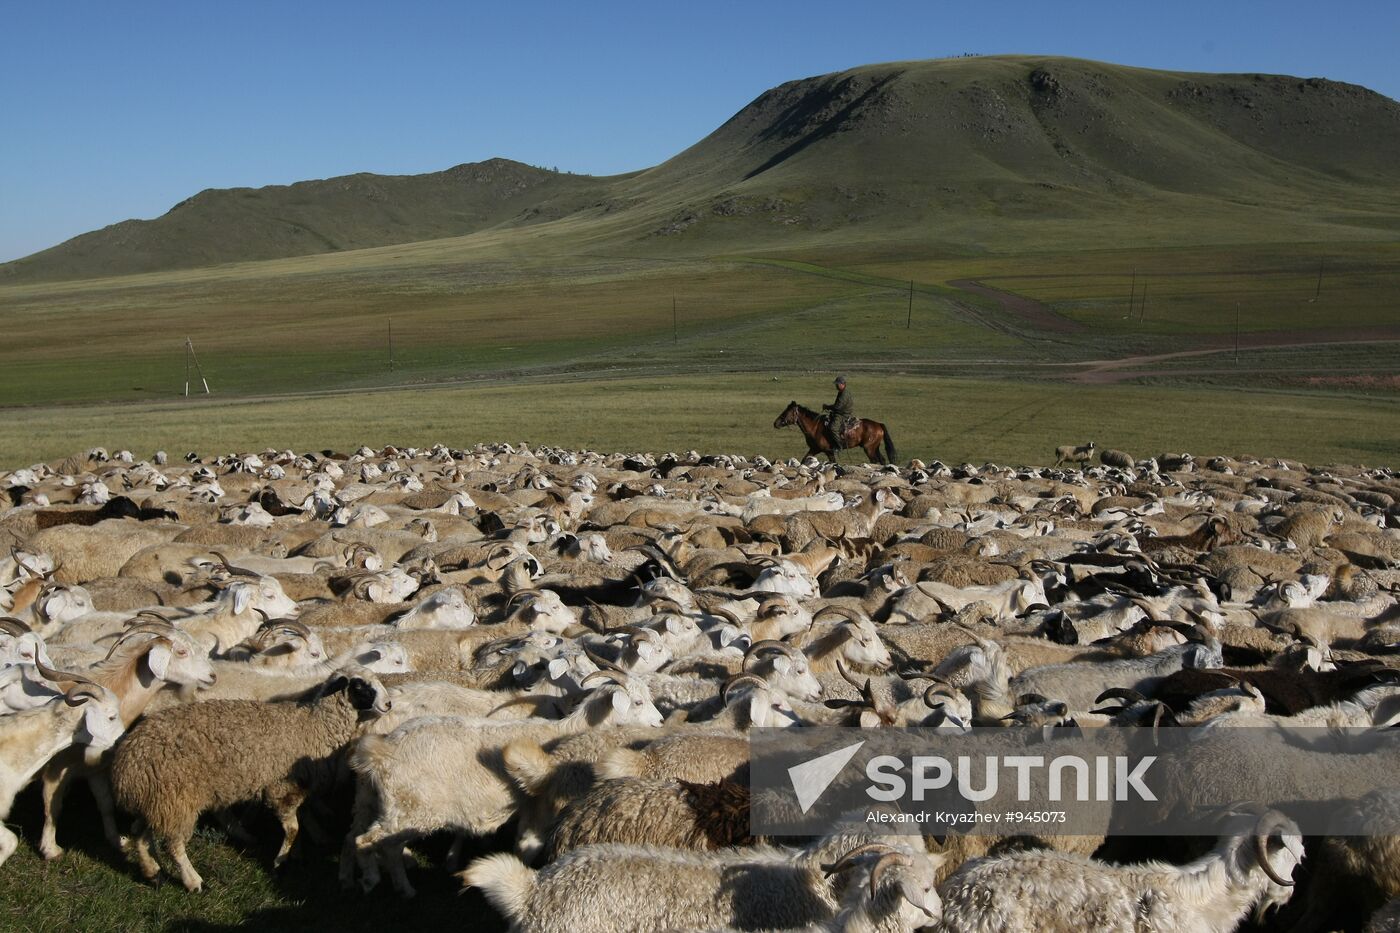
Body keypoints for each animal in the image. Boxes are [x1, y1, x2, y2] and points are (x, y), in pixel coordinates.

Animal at [107, 664, 394, 890]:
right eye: (361, 686)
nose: (389, 704)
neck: (313, 725)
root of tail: (127, 763)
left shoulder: (299, 783)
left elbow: (304, 817)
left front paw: (305, 847)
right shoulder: (281, 787)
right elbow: (292, 828)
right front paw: (280, 861)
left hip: (156, 801)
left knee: (140, 834)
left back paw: (152, 872)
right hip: (176, 798)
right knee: (173, 845)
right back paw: (193, 881)